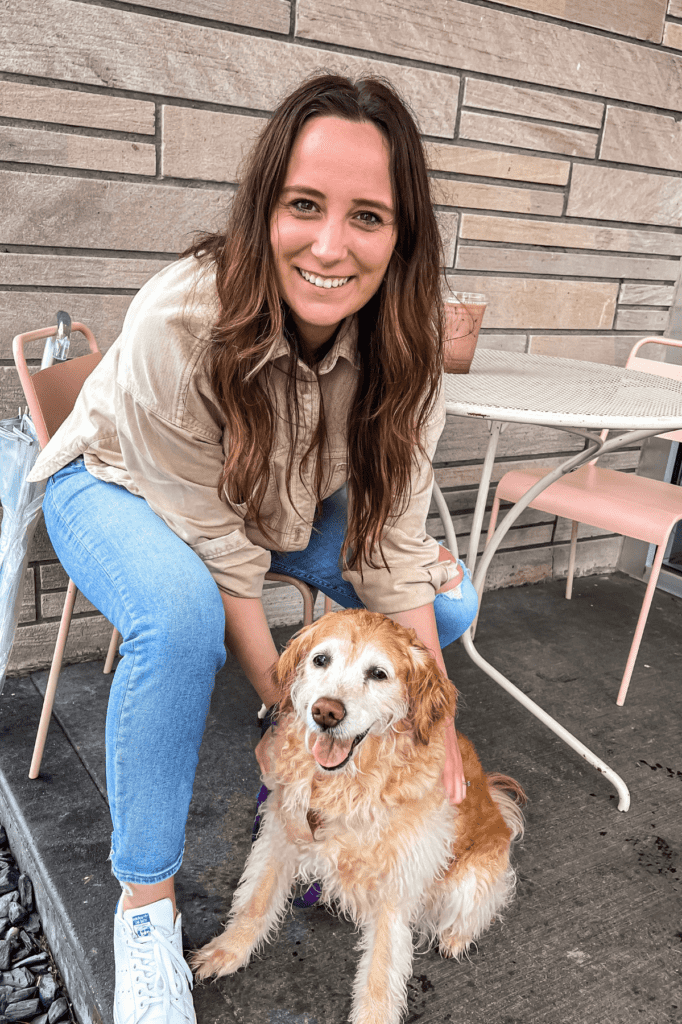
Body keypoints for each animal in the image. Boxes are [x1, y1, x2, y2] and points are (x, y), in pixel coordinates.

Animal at [191, 606, 524, 1024]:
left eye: (378, 673)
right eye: (320, 660)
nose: (325, 712)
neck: (347, 785)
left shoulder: (395, 889)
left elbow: (380, 972)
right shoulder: (279, 834)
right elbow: (256, 901)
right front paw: (228, 951)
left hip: (470, 879)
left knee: (482, 906)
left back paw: (456, 937)